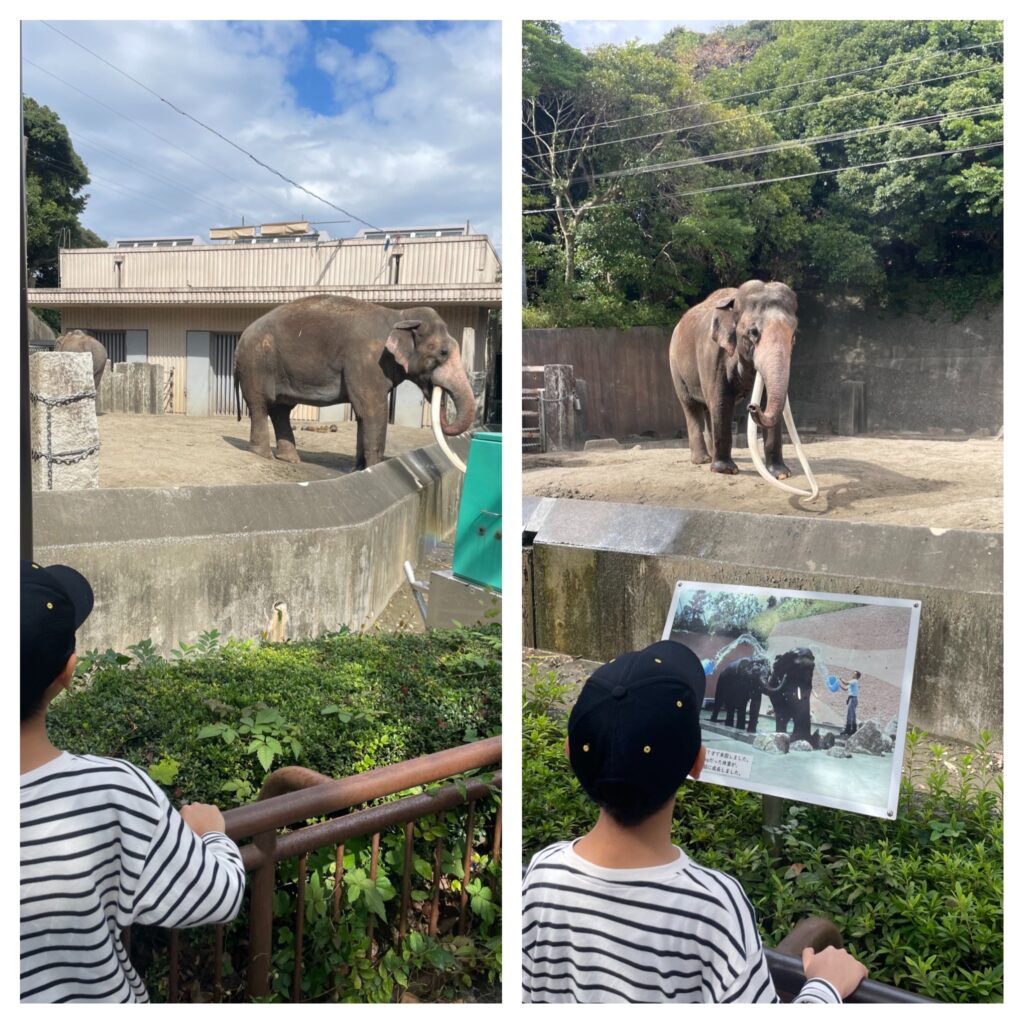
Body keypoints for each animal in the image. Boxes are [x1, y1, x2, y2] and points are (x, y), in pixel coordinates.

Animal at [233, 294, 475, 468]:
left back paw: (290, 460)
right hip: (256, 363)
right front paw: (373, 469)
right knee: (260, 404)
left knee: (281, 409)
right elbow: (373, 411)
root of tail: (241, 337)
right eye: (443, 353)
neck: (400, 315)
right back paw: (263, 455)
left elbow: (363, 415)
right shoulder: (366, 361)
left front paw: (358, 469)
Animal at [667, 280, 802, 479]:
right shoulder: (712, 353)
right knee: (691, 406)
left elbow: (767, 401)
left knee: (707, 408)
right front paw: (726, 470)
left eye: (793, 335)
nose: (752, 407)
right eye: (753, 332)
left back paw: (710, 455)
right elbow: (721, 401)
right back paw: (703, 460)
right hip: (676, 366)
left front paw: (781, 474)